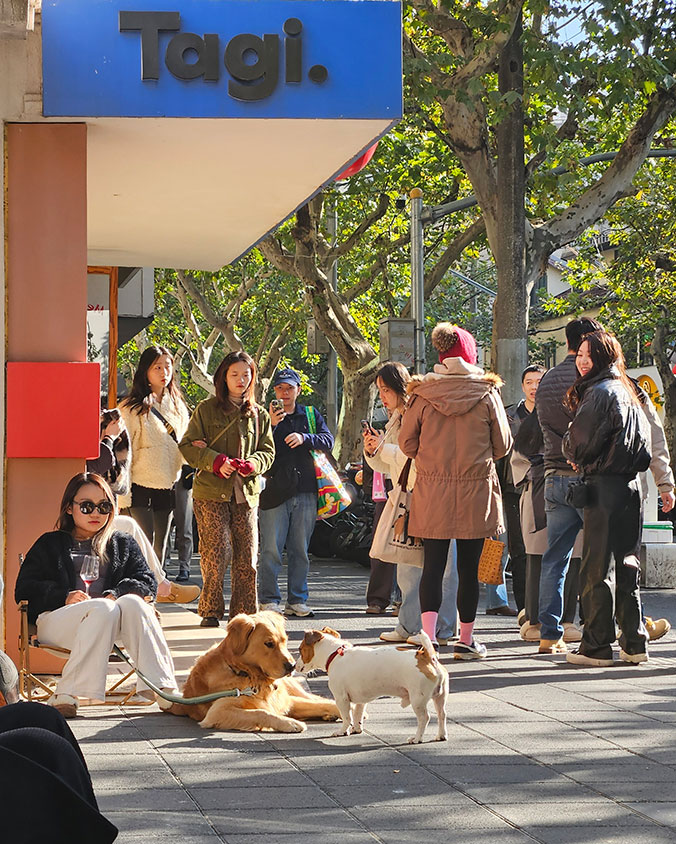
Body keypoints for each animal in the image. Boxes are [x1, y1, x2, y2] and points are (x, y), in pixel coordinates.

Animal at [296, 628, 448, 744]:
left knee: (424, 718)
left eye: (300, 649)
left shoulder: (341, 698)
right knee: (442, 715)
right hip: (439, 698)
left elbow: (346, 717)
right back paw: (441, 735)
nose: (294, 665)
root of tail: (428, 657)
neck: (335, 655)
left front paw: (342, 731)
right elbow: (357, 715)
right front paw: (356, 729)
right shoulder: (360, 701)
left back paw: (416, 738)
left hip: (417, 700)